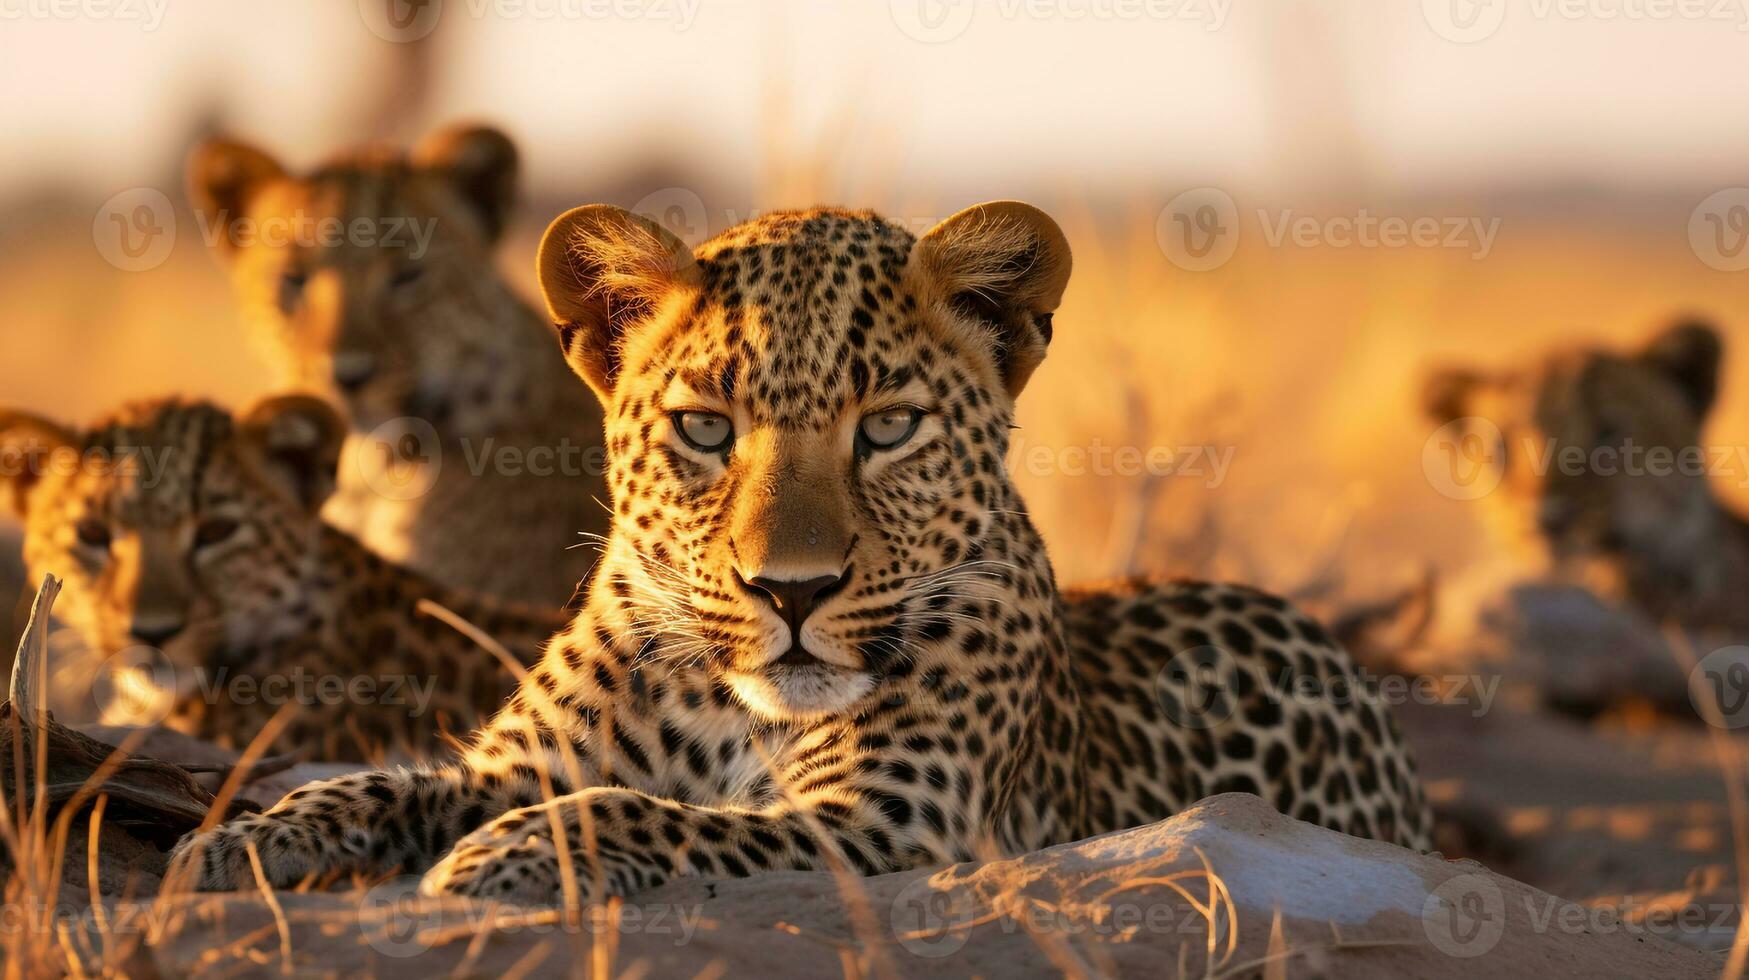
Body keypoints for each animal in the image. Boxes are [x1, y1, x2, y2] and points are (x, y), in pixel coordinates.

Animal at [174, 199, 1434, 903]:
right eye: (704, 429)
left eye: (887, 427)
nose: (793, 591)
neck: (721, 701)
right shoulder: (515, 761)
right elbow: (375, 780)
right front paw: (237, 843)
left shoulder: (892, 817)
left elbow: (649, 812)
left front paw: (502, 857)